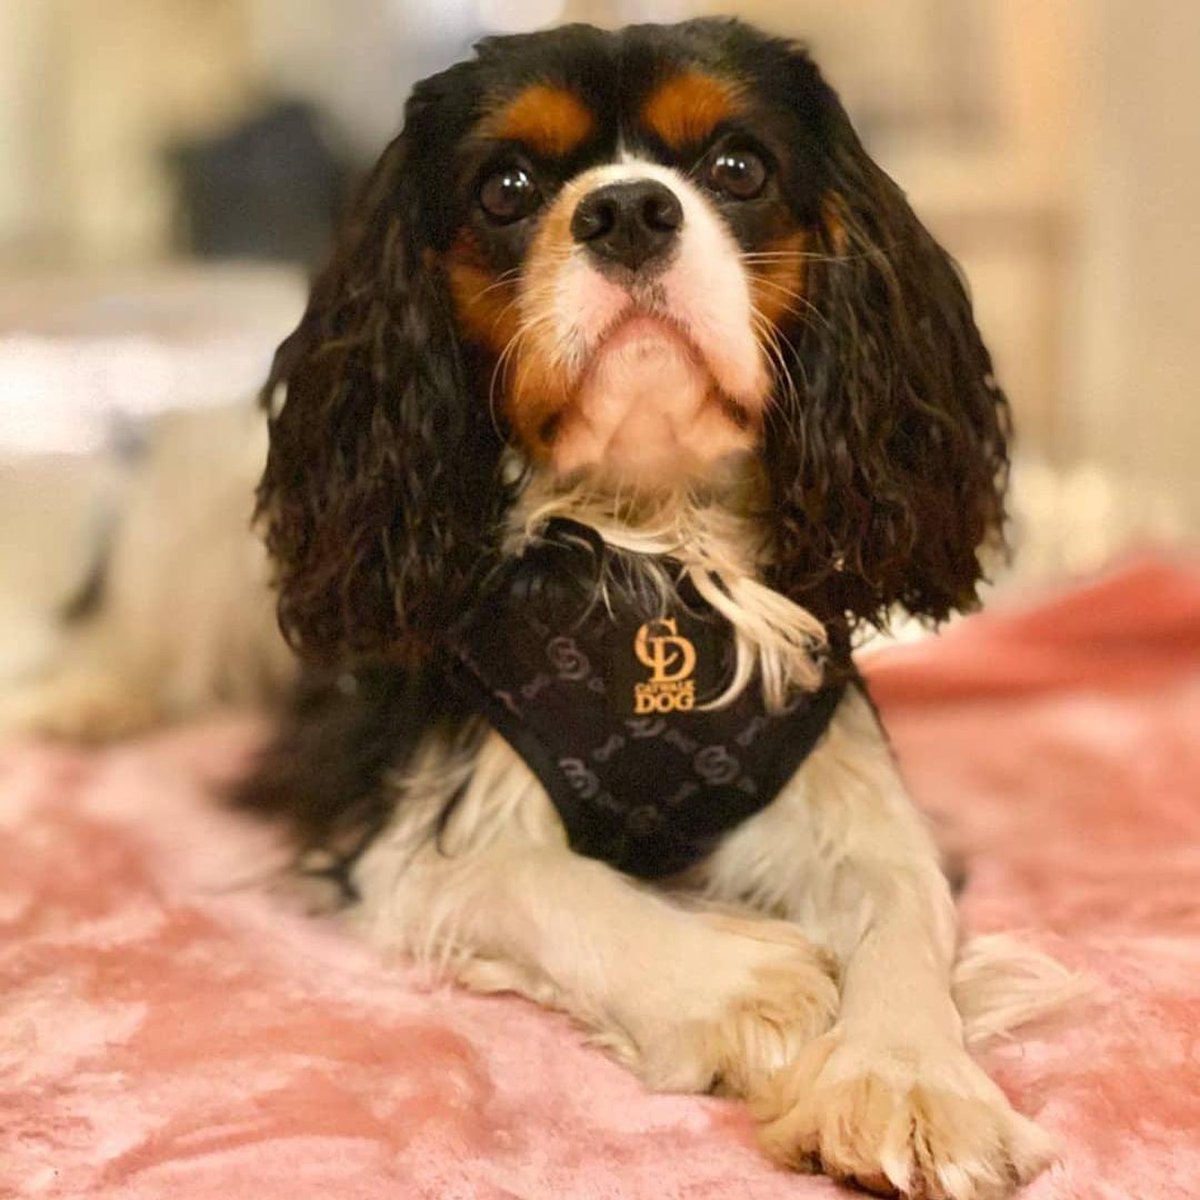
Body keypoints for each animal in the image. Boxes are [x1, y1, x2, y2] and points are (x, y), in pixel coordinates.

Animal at [3, 20, 1081, 1198]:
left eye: (738, 167)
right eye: (508, 188)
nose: (629, 210)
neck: (650, 533)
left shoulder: (849, 790)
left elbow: (901, 910)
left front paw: (905, 1080)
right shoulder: (413, 839)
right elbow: (546, 885)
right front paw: (745, 983)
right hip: (189, 497)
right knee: (120, 632)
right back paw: (78, 701)